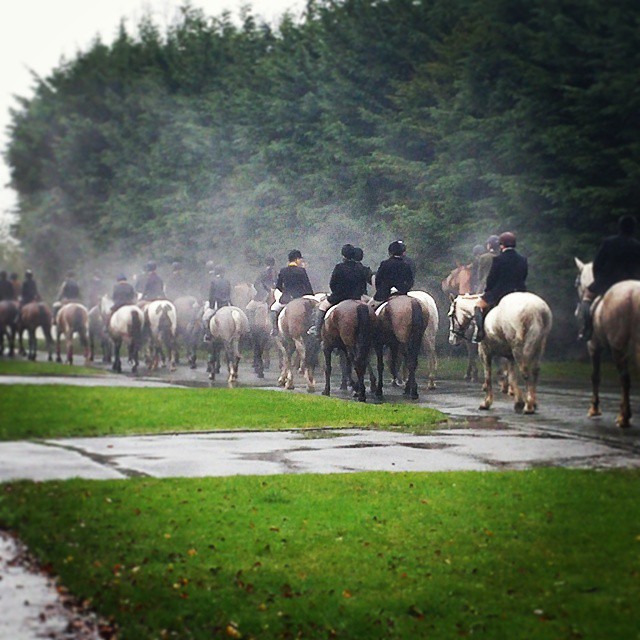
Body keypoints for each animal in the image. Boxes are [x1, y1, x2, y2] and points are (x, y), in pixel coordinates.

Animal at [576, 258, 640, 428]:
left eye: (577, 283)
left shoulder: (593, 346)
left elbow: (595, 376)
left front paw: (594, 409)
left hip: (618, 347)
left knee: (624, 378)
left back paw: (624, 417)